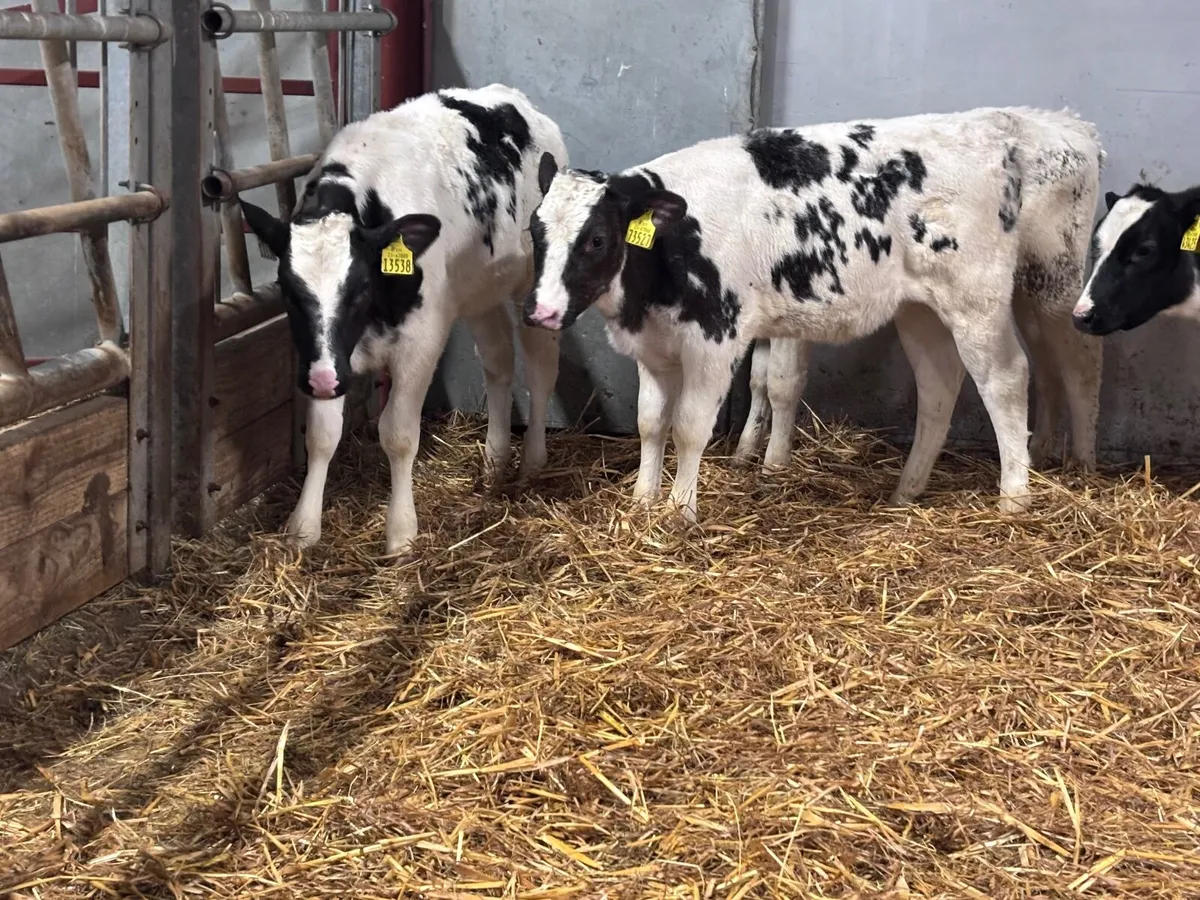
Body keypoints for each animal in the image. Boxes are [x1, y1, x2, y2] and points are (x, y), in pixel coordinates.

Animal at [241, 84, 568, 556]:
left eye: (359, 289)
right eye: (288, 290)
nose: (322, 381)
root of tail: (510, 97)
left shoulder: (420, 341)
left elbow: (397, 433)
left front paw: (401, 534)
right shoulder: (326, 355)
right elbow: (321, 434)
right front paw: (303, 528)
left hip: (532, 282)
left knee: (541, 369)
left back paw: (532, 464)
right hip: (477, 291)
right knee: (498, 360)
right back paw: (495, 459)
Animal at [523, 107, 1104, 521]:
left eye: (597, 239)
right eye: (534, 230)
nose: (541, 311)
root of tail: (999, 126)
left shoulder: (715, 339)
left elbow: (689, 427)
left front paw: (679, 513)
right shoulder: (654, 347)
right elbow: (649, 424)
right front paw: (642, 501)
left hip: (996, 295)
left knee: (1016, 377)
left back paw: (1019, 495)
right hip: (921, 309)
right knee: (941, 385)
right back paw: (907, 490)